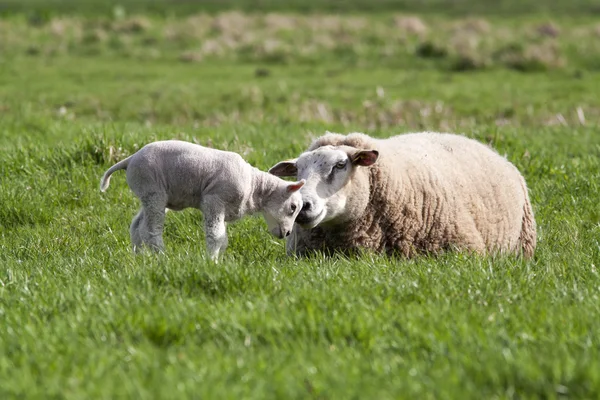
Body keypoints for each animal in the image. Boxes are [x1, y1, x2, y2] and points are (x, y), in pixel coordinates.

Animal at [102, 139, 304, 260]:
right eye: (293, 207)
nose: (287, 233)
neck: (254, 187)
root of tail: (130, 159)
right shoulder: (214, 200)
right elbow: (215, 236)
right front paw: (211, 261)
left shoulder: (224, 209)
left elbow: (222, 238)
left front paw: (219, 260)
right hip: (153, 191)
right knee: (150, 230)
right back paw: (161, 257)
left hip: (149, 194)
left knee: (136, 226)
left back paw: (139, 256)